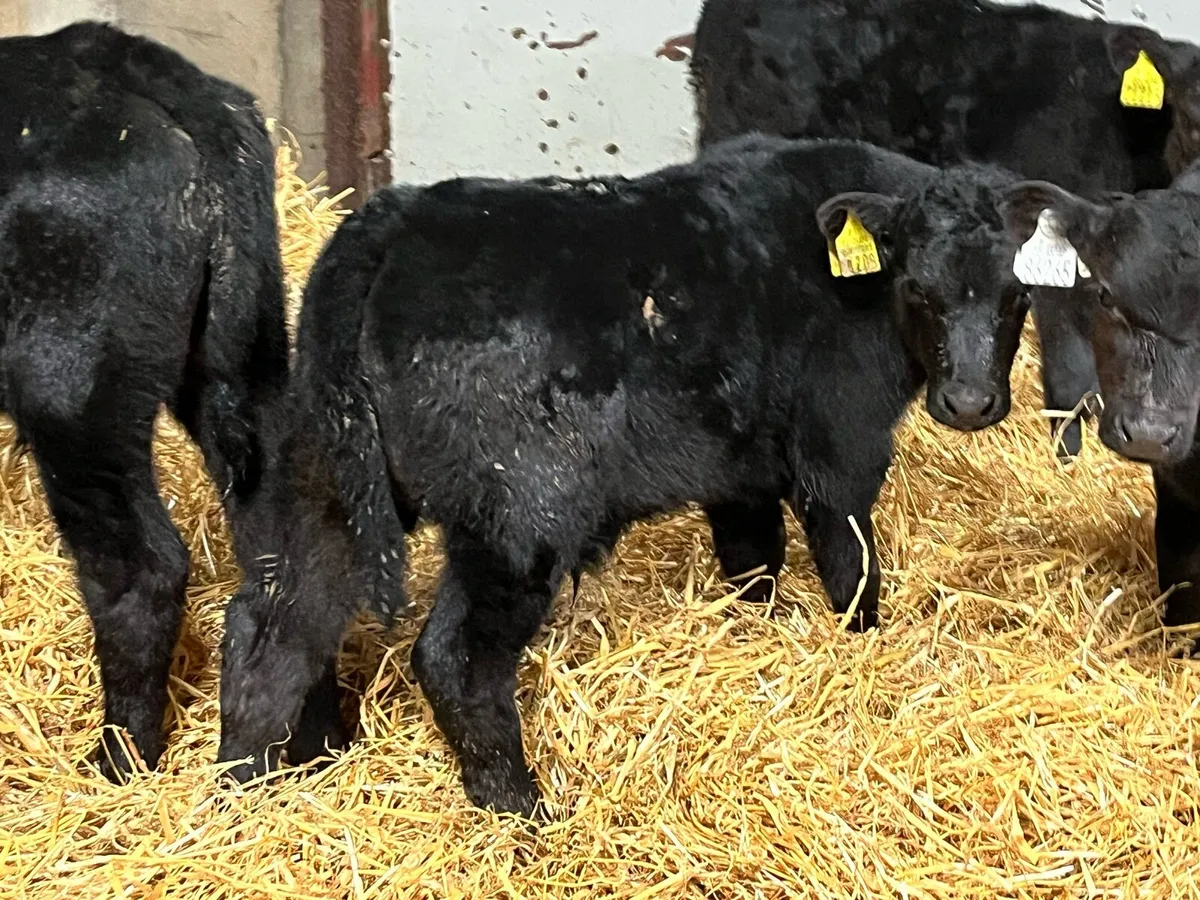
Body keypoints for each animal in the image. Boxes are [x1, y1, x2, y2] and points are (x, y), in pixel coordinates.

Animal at [218, 134, 1032, 814]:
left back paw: (246, 792)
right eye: (920, 290)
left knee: (273, 627)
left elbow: (753, 564)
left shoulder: (739, 470)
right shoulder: (841, 446)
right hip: (520, 516)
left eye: (1018, 295)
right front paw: (861, 651)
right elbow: (851, 567)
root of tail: (392, 221)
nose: (969, 401)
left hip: (324, 478)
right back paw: (522, 813)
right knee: (454, 657)